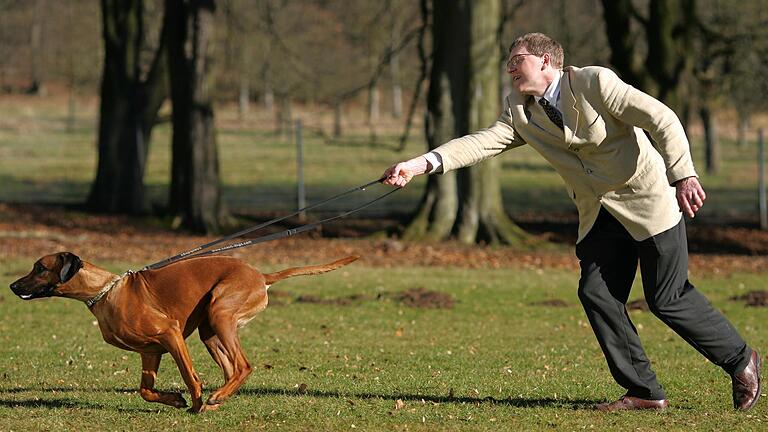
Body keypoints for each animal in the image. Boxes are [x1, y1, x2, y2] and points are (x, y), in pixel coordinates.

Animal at [9, 251, 356, 414]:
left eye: (40, 267)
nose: (12, 286)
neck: (105, 292)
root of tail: (261, 275)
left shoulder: (170, 334)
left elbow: (190, 376)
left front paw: (195, 402)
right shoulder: (150, 352)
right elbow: (145, 390)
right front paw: (176, 400)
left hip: (219, 313)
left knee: (243, 366)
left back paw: (215, 397)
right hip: (210, 331)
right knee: (232, 369)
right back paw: (219, 398)